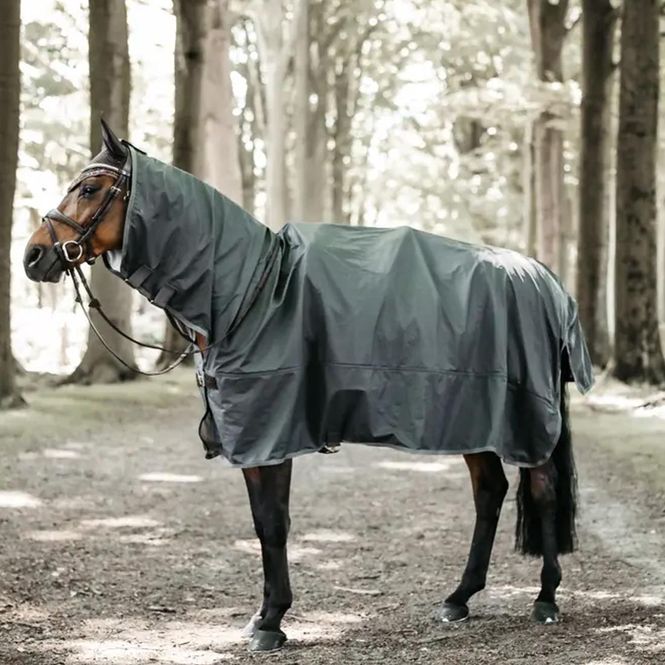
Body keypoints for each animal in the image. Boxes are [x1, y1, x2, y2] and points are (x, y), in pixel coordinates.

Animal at [23, 120, 593, 652]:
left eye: (89, 188)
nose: (32, 256)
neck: (249, 291)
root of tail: (544, 280)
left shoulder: (270, 433)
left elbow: (274, 524)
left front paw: (271, 622)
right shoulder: (255, 438)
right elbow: (263, 523)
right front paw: (263, 617)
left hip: (522, 419)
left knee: (541, 490)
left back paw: (545, 599)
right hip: (475, 419)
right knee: (490, 493)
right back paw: (459, 598)